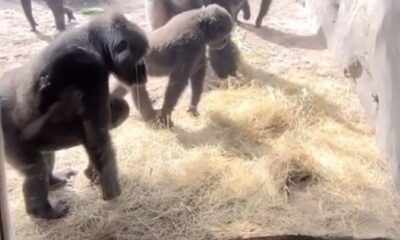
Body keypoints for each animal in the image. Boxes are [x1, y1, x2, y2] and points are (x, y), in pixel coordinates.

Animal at [0, 12, 148, 219]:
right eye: (140, 57)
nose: (144, 70)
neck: (96, 42)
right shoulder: (88, 68)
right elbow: (97, 136)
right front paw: (112, 192)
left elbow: (98, 131)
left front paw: (94, 175)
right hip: (10, 141)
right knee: (35, 170)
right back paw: (43, 211)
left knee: (46, 158)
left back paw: (54, 180)